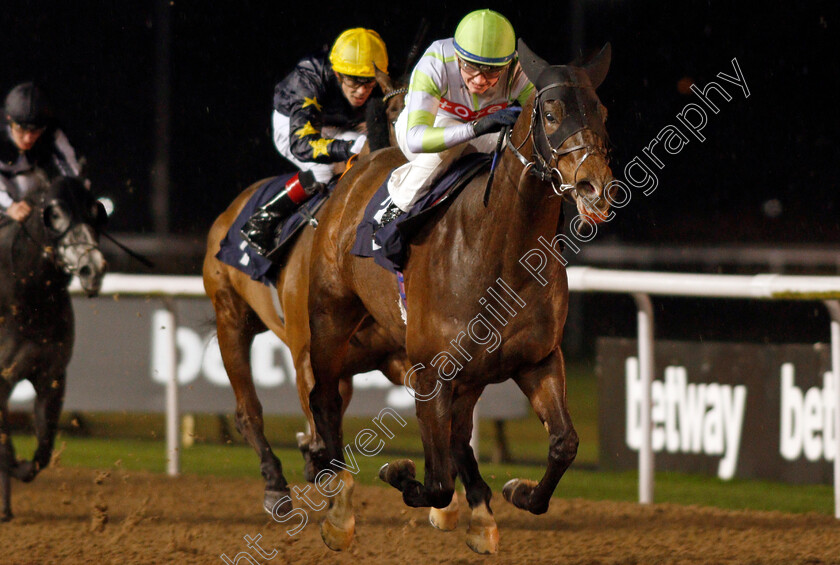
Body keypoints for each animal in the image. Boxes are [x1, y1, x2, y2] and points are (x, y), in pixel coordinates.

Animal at [202, 71, 406, 520]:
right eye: (394, 115)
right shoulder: (305, 353)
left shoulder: (396, 355)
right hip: (231, 318)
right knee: (249, 412)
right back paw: (275, 485)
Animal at [306, 40, 612, 556]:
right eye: (551, 113)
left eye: (602, 111)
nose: (596, 186)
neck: (500, 255)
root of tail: (363, 166)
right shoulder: (432, 371)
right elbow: (434, 480)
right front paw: (399, 472)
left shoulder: (539, 359)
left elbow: (563, 444)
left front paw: (518, 491)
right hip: (330, 316)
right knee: (324, 397)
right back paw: (340, 511)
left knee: (459, 433)